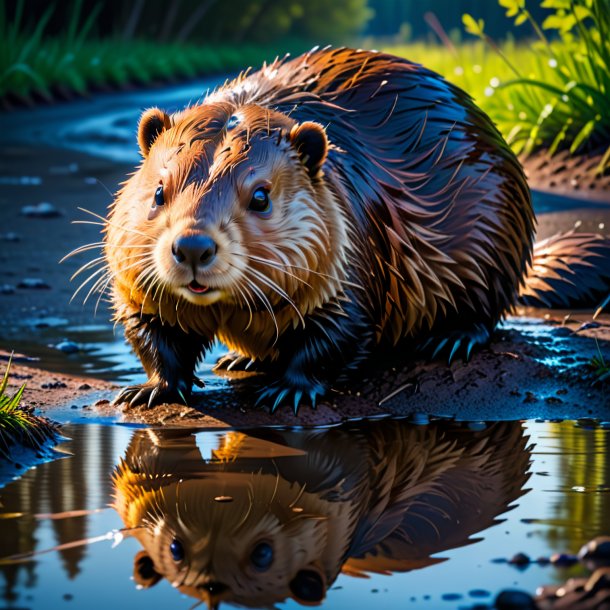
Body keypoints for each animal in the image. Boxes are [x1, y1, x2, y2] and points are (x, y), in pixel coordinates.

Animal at [97, 47, 604, 408]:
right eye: (158, 191)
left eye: (260, 196)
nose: (192, 247)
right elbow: (149, 328)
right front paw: (148, 390)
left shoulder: (354, 253)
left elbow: (339, 334)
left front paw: (288, 390)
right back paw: (238, 357)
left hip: (499, 240)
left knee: (486, 307)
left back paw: (450, 339)